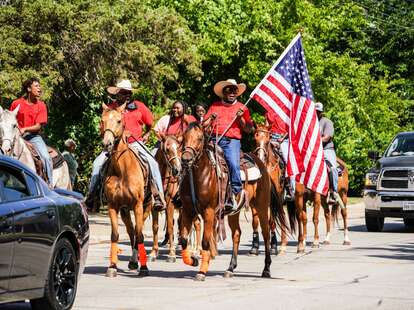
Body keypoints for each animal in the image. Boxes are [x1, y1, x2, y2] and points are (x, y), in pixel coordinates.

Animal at [101, 103, 153, 278]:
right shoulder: (113, 206)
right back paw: (132, 261)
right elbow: (115, 235)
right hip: (124, 211)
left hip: (146, 206)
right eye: (102, 120)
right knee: (131, 231)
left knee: (137, 231)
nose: (107, 143)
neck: (121, 169)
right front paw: (112, 267)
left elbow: (140, 235)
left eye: (119, 120)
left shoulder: (138, 205)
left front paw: (144, 268)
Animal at [178, 123, 284, 280]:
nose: (186, 159)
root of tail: (262, 165)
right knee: (237, 234)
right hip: (235, 211)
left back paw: (266, 269)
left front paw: (202, 271)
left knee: (265, 233)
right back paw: (230, 268)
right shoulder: (187, 210)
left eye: (200, 138)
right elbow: (184, 239)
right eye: (184, 137)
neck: (199, 175)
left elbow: (205, 241)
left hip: (262, 206)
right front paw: (193, 260)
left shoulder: (209, 211)